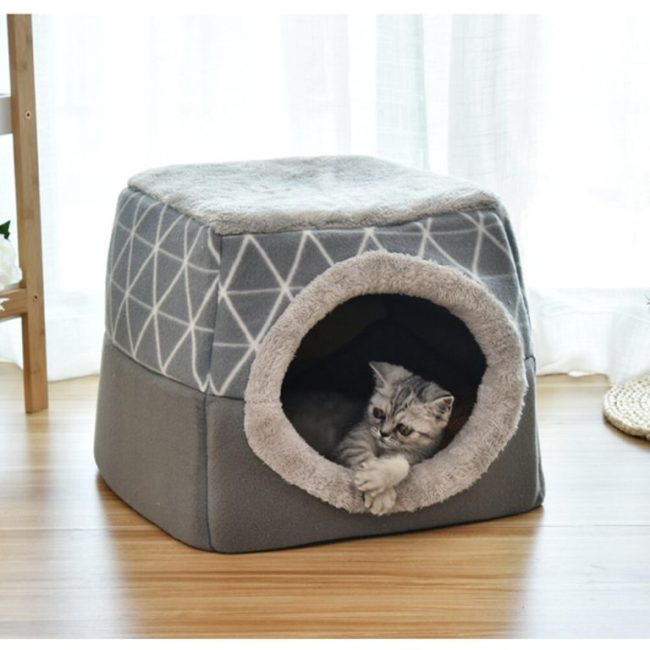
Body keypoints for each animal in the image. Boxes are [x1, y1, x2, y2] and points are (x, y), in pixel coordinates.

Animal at [333, 361, 454, 516]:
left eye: (404, 429)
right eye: (378, 413)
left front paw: (378, 478)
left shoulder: (419, 455)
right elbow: (363, 456)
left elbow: (403, 462)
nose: (383, 433)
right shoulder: (353, 440)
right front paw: (381, 495)